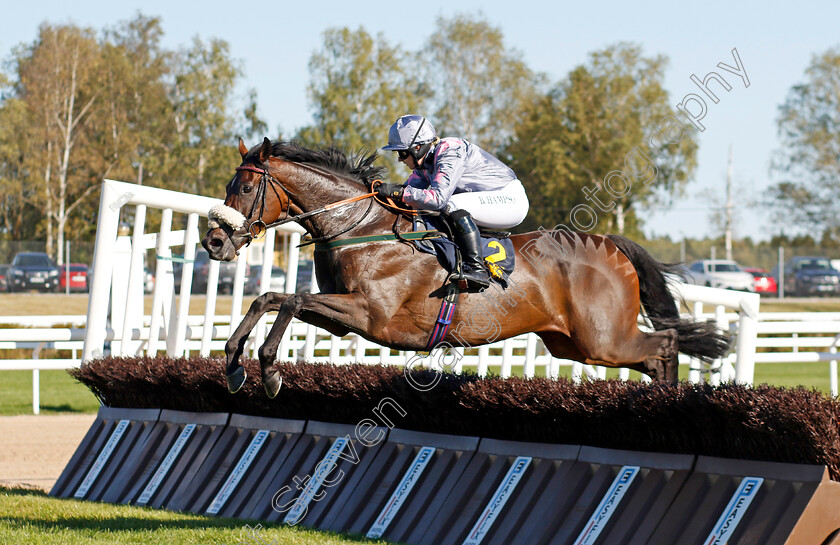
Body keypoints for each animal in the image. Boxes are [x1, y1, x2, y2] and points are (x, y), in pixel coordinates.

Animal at [200, 138, 724, 398]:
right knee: (655, 355)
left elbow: (287, 298)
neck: (359, 224)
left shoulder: (369, 313)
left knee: (665, 344)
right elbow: (270, 297)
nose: (214, 241)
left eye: (244, 188)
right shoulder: (342, 315)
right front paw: (233, 363)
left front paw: (269, 369)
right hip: (575, 344)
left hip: (602, 339)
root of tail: (610, 245)